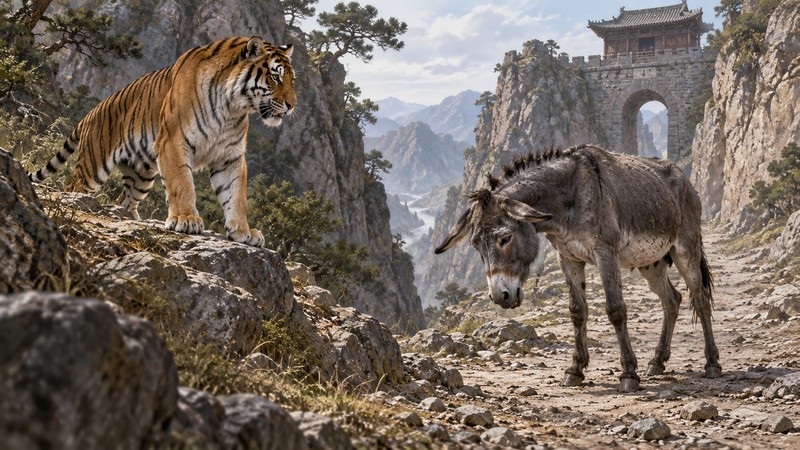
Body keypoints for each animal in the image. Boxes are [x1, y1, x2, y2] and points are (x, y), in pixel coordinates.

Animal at [28, 36, 297, 247]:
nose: (293, 105)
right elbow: (182, 183)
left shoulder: (230, 157)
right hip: (92, 169)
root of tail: (92, 112)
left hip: (141, 176)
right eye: (275, 77)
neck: (232, 106)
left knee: (124, 201)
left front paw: (242, 231)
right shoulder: (173, 142)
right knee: (72, 190)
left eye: (292, 80)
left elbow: (236, 196)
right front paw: (186, 219)